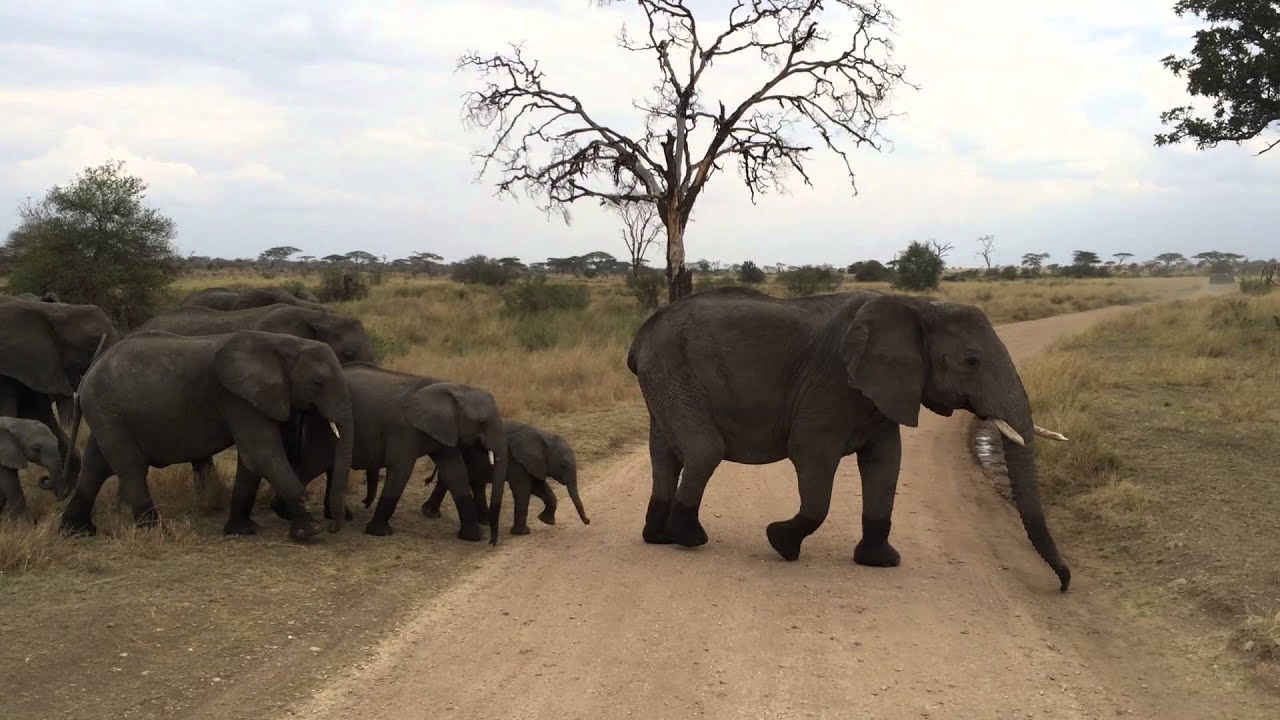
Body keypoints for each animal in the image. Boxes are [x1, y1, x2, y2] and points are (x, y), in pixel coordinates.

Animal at [58, 329, 354, 541]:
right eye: (317, 384)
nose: (335, 528)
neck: (283, 343)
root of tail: (86, 376)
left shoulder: (251, 398)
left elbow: (251, 460)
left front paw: (242, 530)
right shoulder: (237, 397)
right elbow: (262, 453)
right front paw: (310, 531)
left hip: (105, 413)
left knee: (96, 465)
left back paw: (76, 532)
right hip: (109, 412)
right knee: (130, 466)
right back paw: (157, 533)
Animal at [264, 362, 509, 544]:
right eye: (482, 422)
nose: (493, 542)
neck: (450, 388)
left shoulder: (445, 430)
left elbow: (456, 472)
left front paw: (474, 537)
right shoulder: (405, 430)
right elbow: (401, 471)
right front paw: (380, 533)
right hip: (322, 427)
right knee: (313, 464)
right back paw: (283, 511)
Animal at [419, 419, 590, 536]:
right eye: (563, 465)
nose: (588, 521)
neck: (544, 437)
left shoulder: (532, 462)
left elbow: (539, 487)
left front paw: (545, 521)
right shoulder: (515, 460)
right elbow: (523, 489)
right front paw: (523, 533)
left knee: (476, 484)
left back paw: (484, 522)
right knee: (449, 481)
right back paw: (430, 514)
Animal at [626, 287, 1072, 592]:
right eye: (972, 361)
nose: (1064, 583)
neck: (918, 306)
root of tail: (639, 337)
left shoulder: (882, 391)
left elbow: (886, 464)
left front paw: (880, 562)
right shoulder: (833, 384)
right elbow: (812, 457)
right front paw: (780, 542)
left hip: (665, 380)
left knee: (665, 454)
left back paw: (658, 537)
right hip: (674, 372)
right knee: (705, 452)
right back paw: (689, 539)